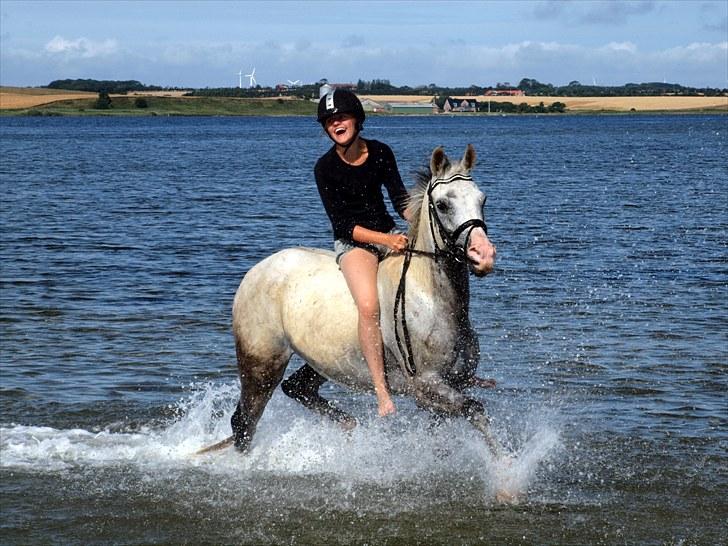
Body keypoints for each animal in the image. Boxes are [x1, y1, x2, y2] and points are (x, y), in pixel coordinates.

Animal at [202, 143, 504, 454]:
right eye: (443, 205)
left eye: (482, 199)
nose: (484, 255)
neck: (430, 297)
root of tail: (255, 271)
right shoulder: (426, 385)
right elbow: (477, 411)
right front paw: (506, 466)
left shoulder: (449, 389)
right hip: (262, 364)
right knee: (245, 423)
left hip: (326, 360)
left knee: (296, 388)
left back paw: (348, 426)